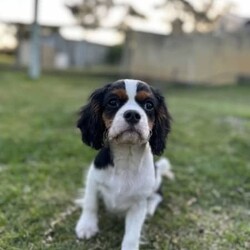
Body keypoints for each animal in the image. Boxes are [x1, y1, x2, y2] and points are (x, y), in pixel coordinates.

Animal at [75, 79, 173, 250]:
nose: (132, 114)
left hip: (156, 180)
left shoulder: (139, 202)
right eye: (113, 102)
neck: (127, 157)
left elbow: (132, 234)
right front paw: (86, 226)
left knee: (158, 195)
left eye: (149, 105)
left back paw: (150, 208)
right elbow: (90, 202)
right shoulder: (93, 179)